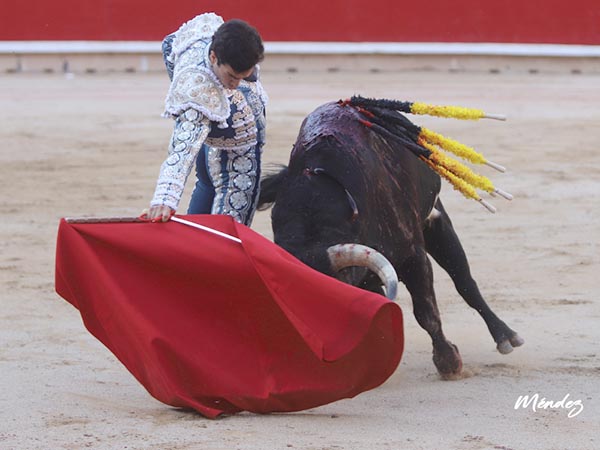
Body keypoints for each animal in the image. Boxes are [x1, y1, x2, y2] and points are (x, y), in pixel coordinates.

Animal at [258, 100, 524, 378]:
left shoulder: (413, 255)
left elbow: (426, 311)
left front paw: (449, 362)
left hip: (436, 221)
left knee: (464, 281)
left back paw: (506, 336)